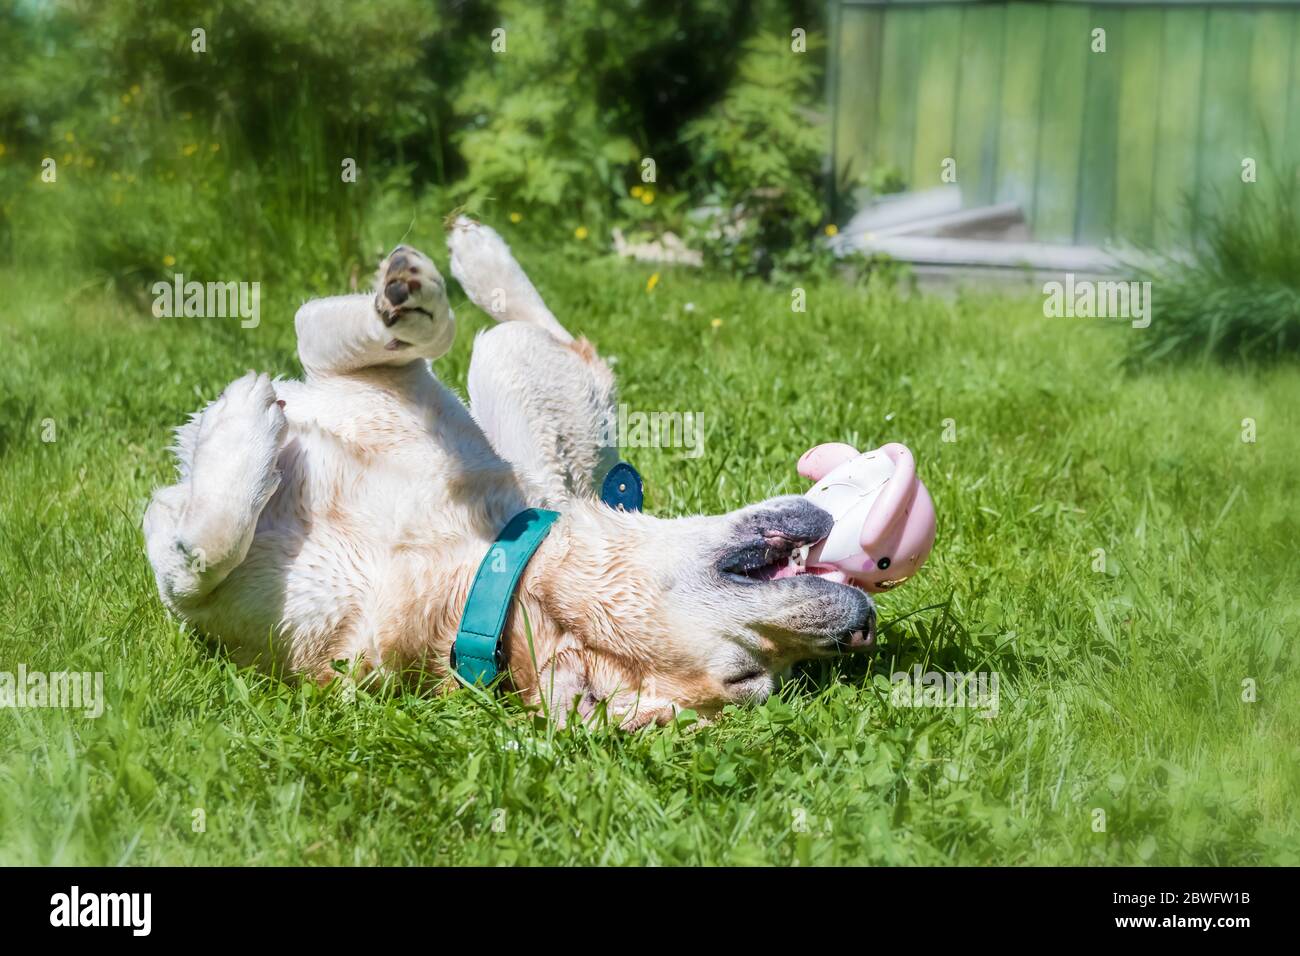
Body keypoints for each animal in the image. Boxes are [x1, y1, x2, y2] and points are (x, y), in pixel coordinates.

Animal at [144, 217, 873, 723]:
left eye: (751, 679)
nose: (858, 631)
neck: (466, 575)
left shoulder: (198, 597)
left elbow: (200, 555)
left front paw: (238, 423)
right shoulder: (365, 370)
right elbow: (397, 334)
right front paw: (410, 295)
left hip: (510, 373)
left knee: (551, 336)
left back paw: (480, 254)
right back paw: (469, 255)